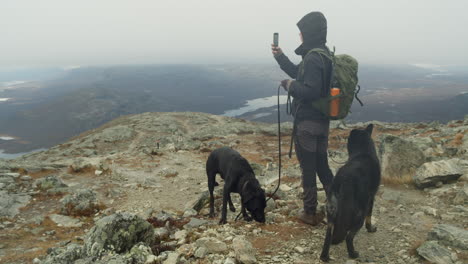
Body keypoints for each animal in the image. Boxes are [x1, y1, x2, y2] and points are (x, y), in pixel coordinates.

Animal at [320, 125, 382, 260]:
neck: (362, 151)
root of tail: (345, 179)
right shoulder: (371, 199)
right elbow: (369, 217)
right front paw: (370, 229)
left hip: (331, 210)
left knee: (329, 234)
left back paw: (324, 257)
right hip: (359, 213)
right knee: (349, 236)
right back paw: (353, 254)